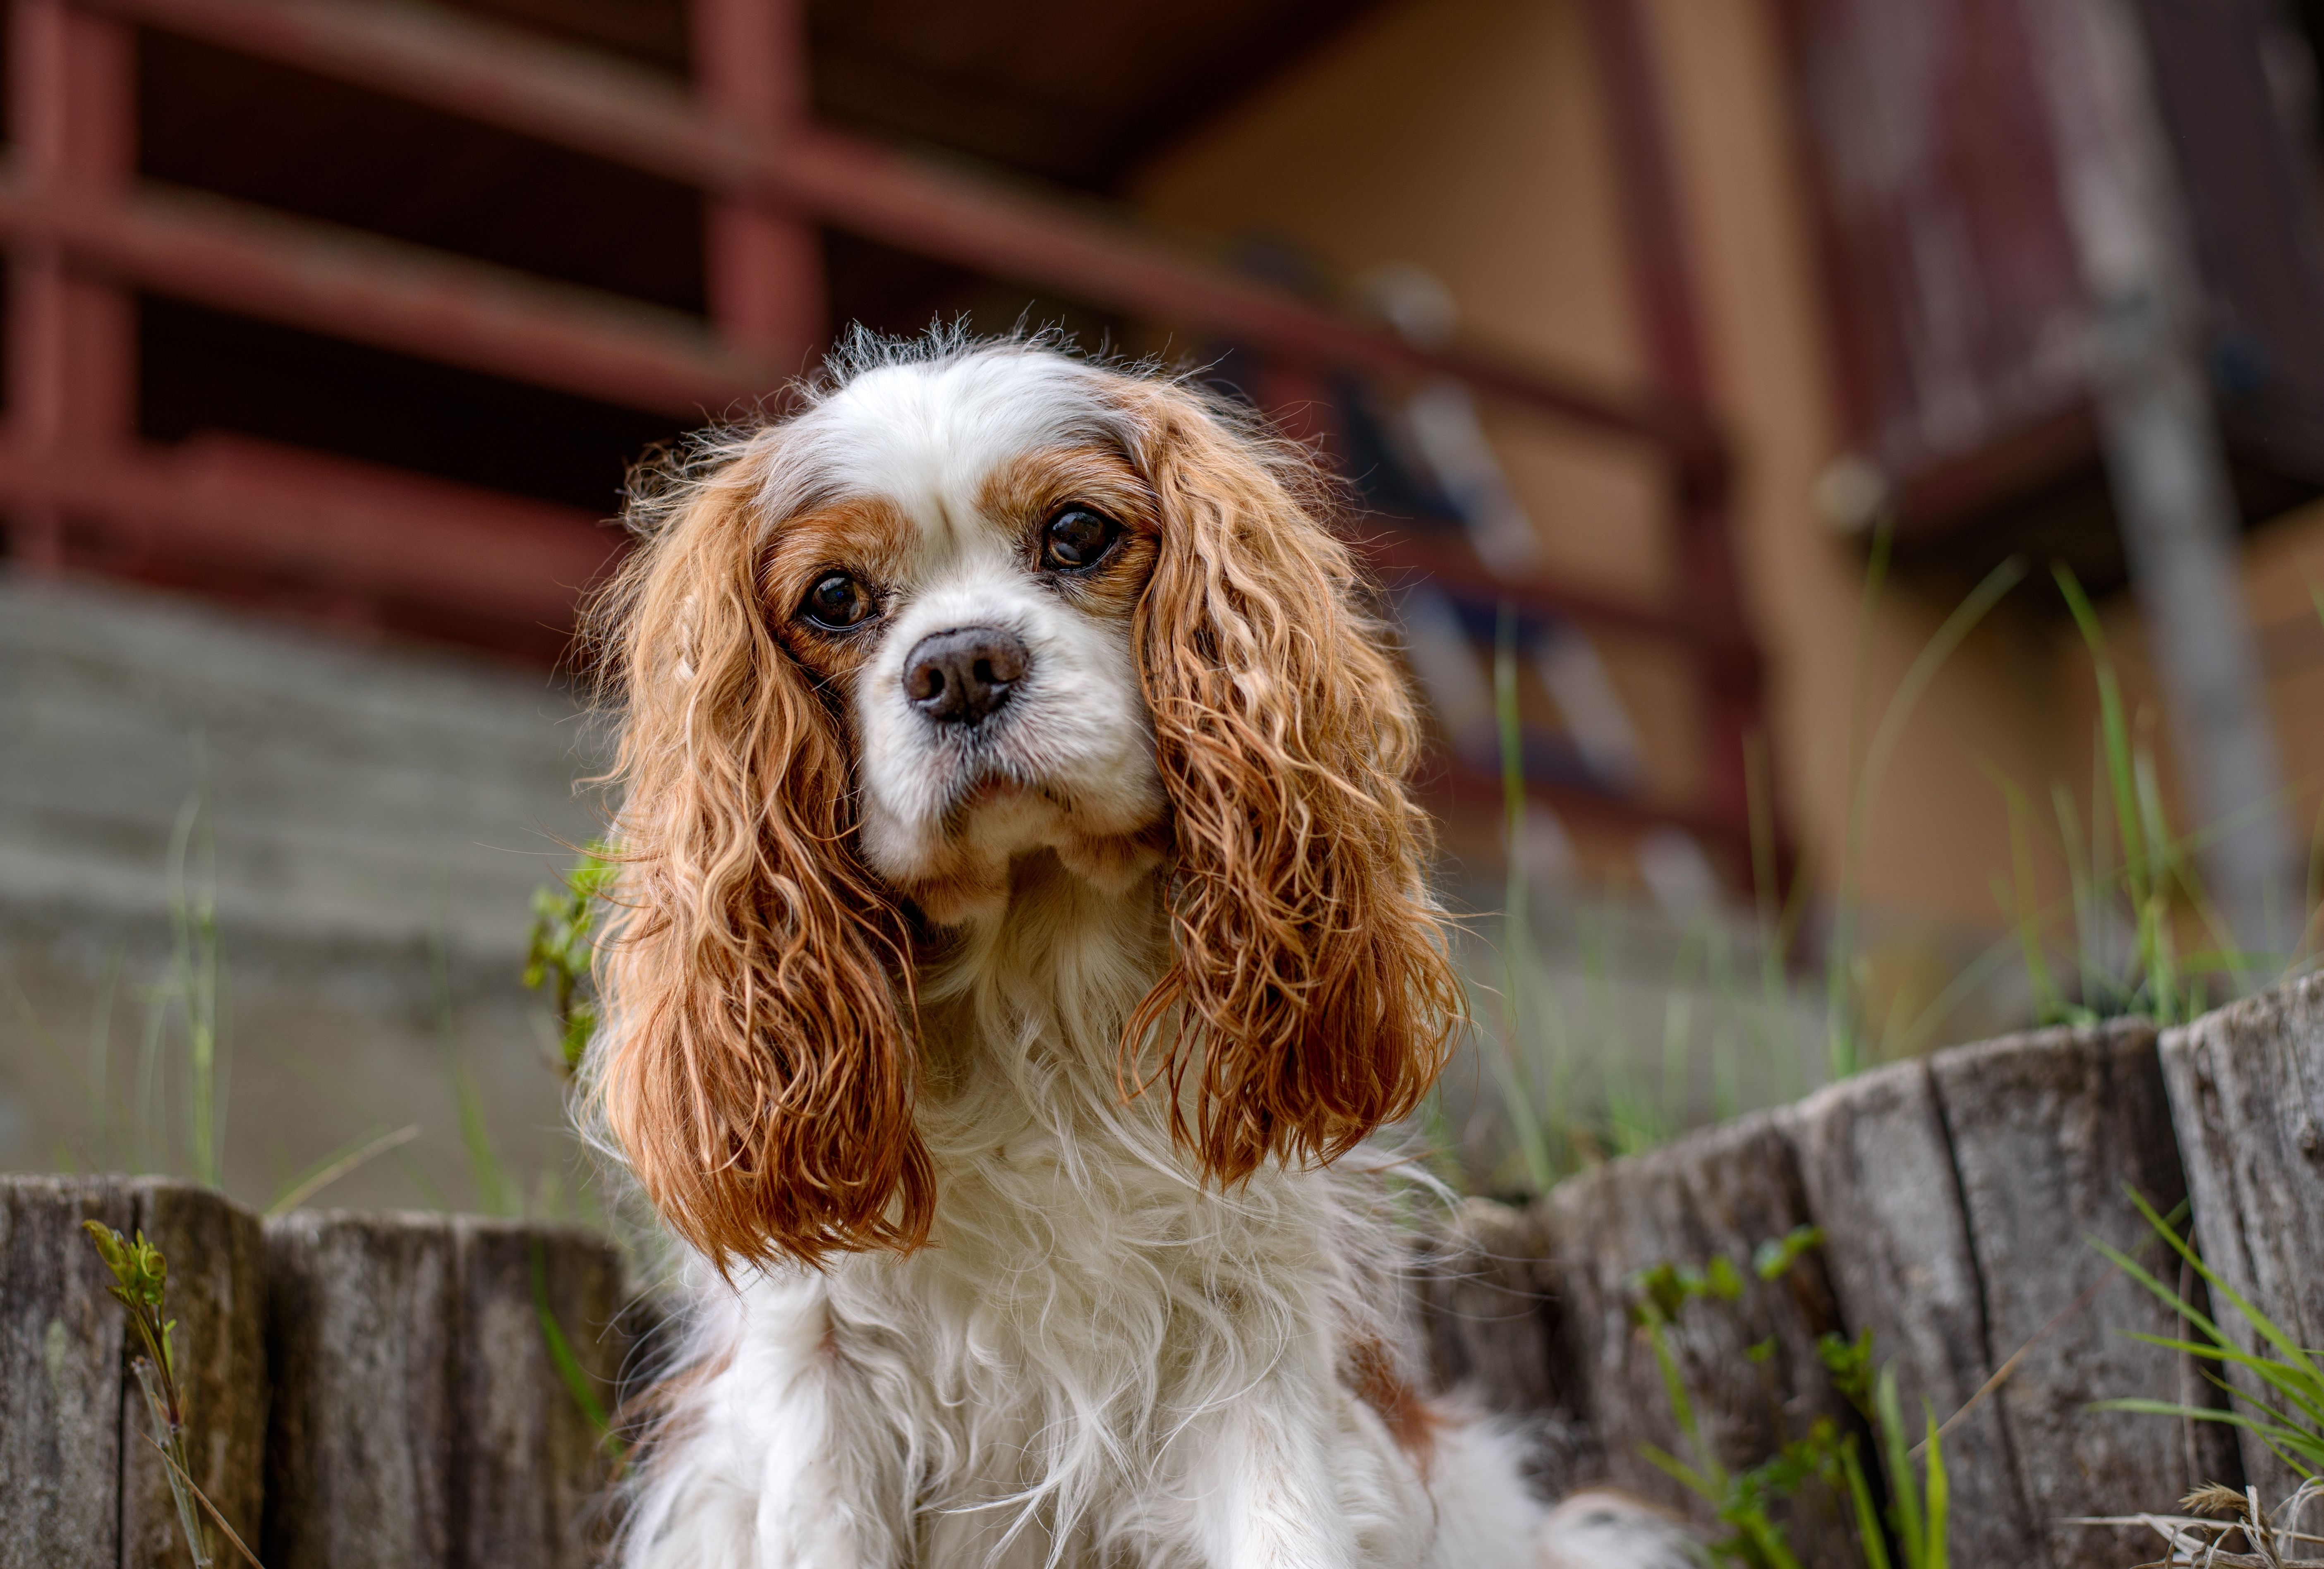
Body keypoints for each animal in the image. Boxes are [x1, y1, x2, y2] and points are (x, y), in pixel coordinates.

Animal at [581, 335, 1691, 1569]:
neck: (1032, 986)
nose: (961, 665)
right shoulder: (817, 1371)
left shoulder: (1253, 1349)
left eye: (1077, 534)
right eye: (834, 597)